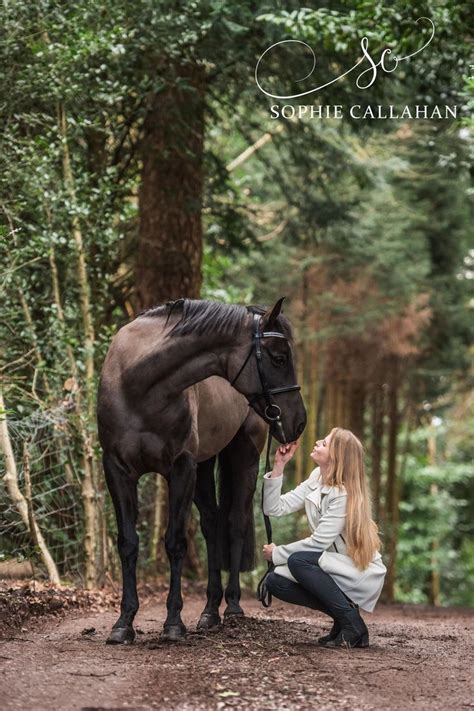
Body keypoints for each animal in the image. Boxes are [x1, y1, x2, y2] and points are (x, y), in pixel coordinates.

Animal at [97, 298, 306, 644]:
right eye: (279, 358)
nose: (299, 422)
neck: (139, 385)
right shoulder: (117, 470)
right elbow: (127, 542)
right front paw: (123, 623)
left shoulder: (181, 468)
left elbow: (175, 542)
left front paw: (173, 623)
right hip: (204, 467)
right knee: (212, 524)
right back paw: (209, 611)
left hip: (243, 458)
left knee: (234, 524)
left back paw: (232, 607)